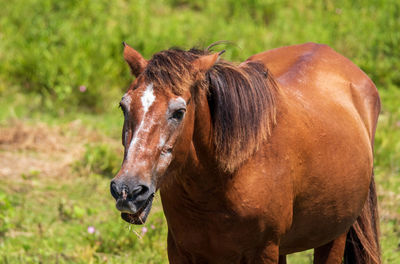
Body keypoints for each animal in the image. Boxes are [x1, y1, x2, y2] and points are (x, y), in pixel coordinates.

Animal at [110, 42, 382, 262]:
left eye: (179, 112)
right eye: (123, 106)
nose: (128, 190)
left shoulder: (262, 252)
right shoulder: (181, 251)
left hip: (334, 236)